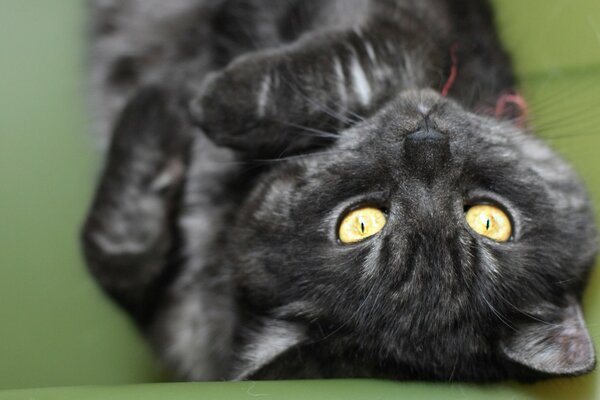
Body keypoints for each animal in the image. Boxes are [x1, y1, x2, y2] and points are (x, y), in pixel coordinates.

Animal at [82, 0, 596, 382]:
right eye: (490, 221)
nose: (427, 143)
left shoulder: (411, 30)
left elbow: (376, 55)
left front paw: (201, 103)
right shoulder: (177, 324)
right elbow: (115, 258)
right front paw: (158, 112)